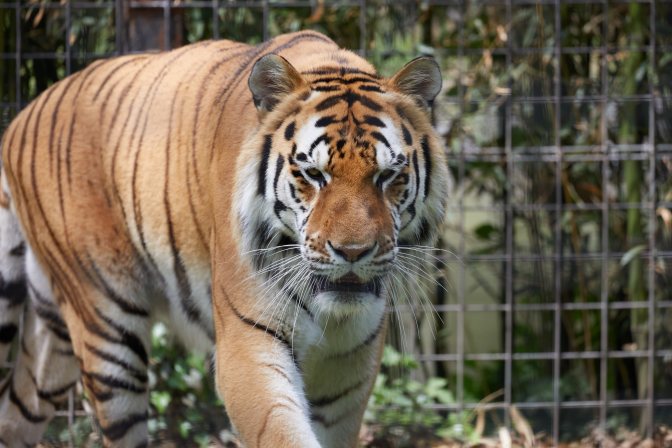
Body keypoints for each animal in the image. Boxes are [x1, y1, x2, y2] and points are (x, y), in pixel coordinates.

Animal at [0, 30, 448, 447]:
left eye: (388, 175)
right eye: (313, 175)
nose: (353, 252)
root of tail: (22, 117)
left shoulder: (348, 368)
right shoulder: (247, 345)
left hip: (51, 342)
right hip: (107, 329)